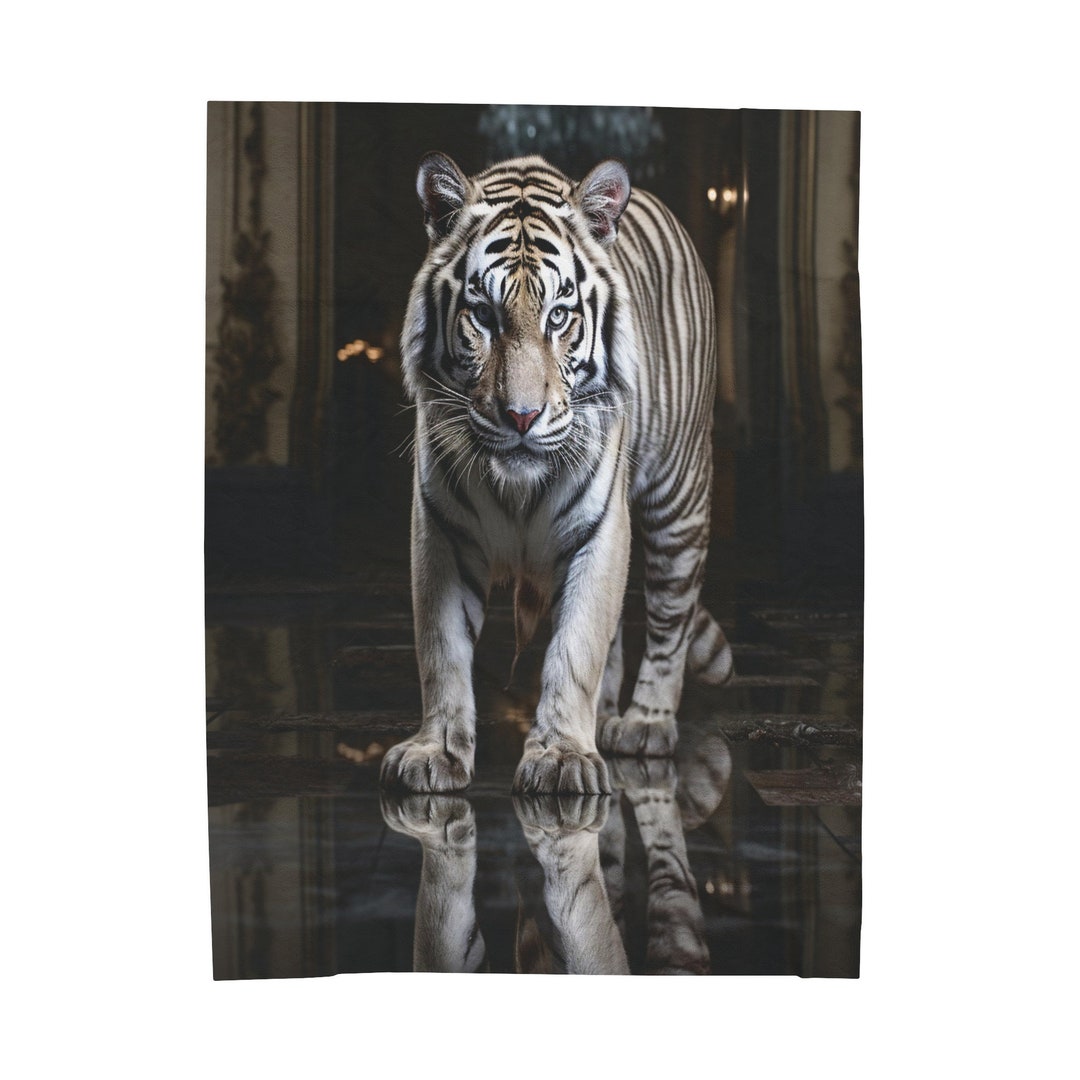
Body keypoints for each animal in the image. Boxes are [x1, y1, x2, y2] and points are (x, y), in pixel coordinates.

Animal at [379, 152, 734, 797]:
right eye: (483, 316)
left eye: (559, 316)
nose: (521, 415)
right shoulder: (441, 531)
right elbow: (441, 648)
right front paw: (435, 752)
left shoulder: (600, 531)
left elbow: (577, 648)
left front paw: (563, 756)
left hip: (678, 499)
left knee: (670, 617)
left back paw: (644, 724)